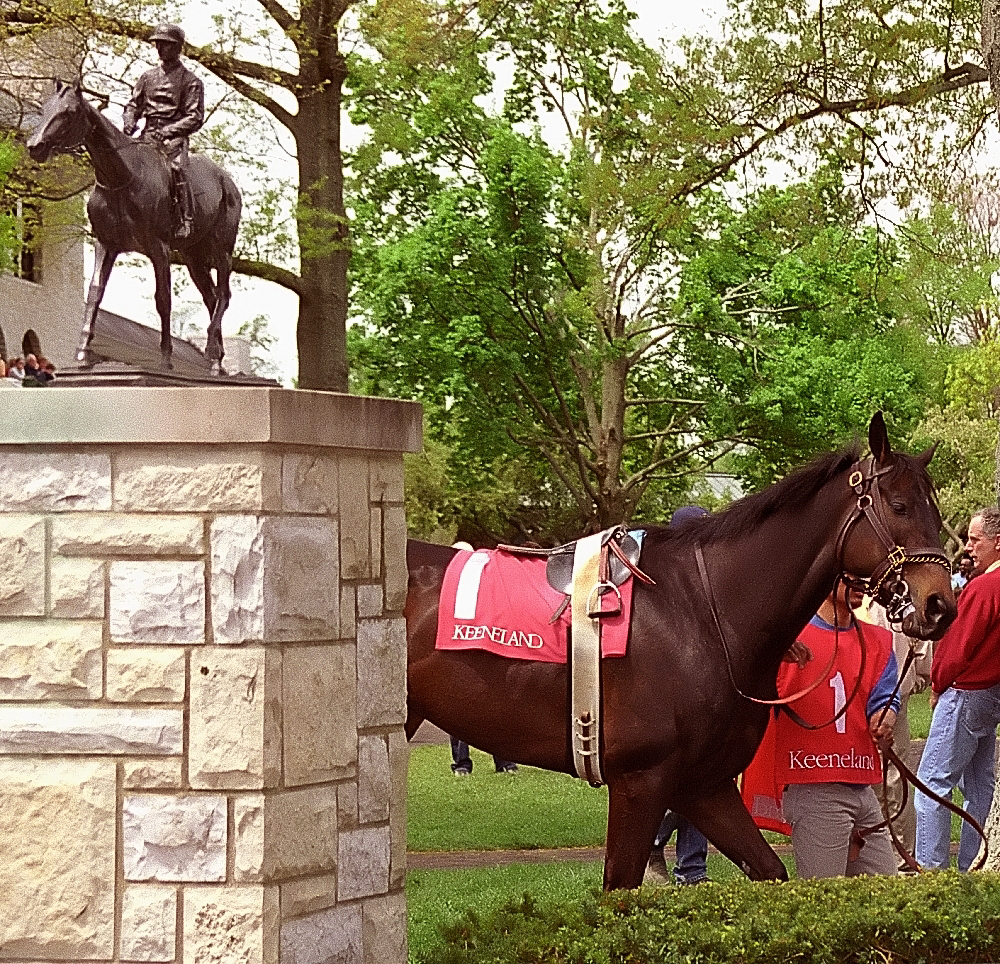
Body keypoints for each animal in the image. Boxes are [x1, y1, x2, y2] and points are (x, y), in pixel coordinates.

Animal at [27, 80, 240, 372]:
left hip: (221, 251)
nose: (34, 146)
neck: (122, 177)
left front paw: (165, 358)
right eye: (46, 107)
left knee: (224, 296)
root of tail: (228, 182)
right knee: (212, 297)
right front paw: (82, 353)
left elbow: (163, 300)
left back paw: (211, 352)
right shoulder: (106, 244)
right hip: (193, 258)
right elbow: (95, 292)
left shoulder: (159, 248)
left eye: (69, 111)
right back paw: (216, 362)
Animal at [406, 414, 960, 888]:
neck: (702, 612)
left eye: (936, 512)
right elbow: (620, 887)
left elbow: (770, 871)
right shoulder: (640, 782)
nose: (940, 605)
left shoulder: (704, 785)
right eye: (900, 506)